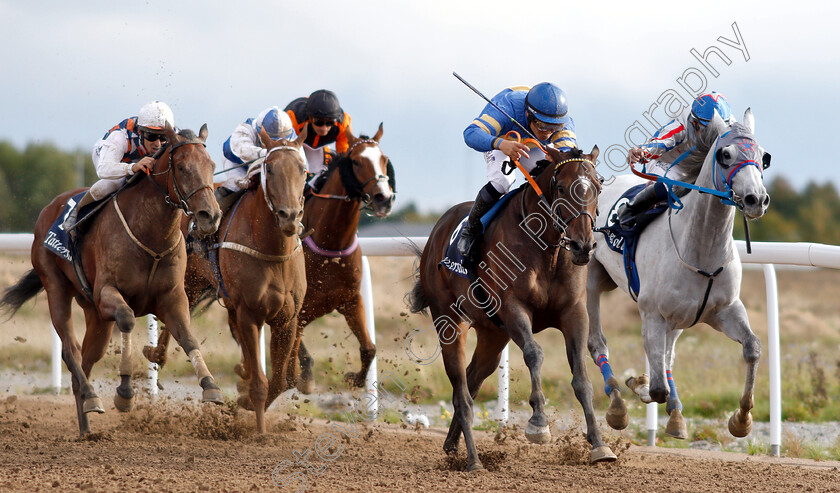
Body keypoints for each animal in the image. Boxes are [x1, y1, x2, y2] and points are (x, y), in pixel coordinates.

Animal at [0, 122, 223, 434]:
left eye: (211, 165)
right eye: (181, 167)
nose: (210, 216)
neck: (150, 235)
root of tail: (49, 208)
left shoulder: (172, 298)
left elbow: (188, 337)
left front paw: (210, 386)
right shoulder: (107, 293)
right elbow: (128, 319)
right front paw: (125, 394)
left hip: (95, 315)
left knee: (84, 361)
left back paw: (86, 427)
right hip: (56, 287)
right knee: (71, 350)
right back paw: (92, 397)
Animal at [144, 127, 308, 430]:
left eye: (303, 169)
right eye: (269, 168)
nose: (290, 216)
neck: (273, 250)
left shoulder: (287, 319)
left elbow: (280, 381)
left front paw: (245, 399)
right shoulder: (250, 314)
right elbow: (261, 384)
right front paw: (259, 430)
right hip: (190, 281)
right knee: (175, 317)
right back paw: (156, 354)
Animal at [292, 124, 394, 392]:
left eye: (384, 159)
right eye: (356, 161)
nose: (384, 198)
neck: (331, 243)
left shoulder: (351, 300)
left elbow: (369, 348)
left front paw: (354, 379)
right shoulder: (298, 310)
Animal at [408, 145, 612, 468]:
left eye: (598, 187)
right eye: (562, 188)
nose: (583, 246)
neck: (547, 249)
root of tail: (436, 232)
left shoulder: (574, 312)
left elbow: (581, 377)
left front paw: (600, 444)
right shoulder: (514, 308)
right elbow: (534, 353)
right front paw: (538, 423)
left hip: (493, 333)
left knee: (473, 377)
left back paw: (452, 444)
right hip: (450, 322)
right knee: (461, 391)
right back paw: (473, 460)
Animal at [588, 110, 772, 438]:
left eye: (763, 157)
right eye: (725, 155)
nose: (756, 199)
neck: (701, 251)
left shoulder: (725, 310)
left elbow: (753, 348)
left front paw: (741, 419)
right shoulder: (651, 314)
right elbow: (656, 387)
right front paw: (639, 384)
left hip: (680, 317)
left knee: (668, 356)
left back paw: (675, 415)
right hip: (594, 276)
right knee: (597, 342)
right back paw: (618, 406)